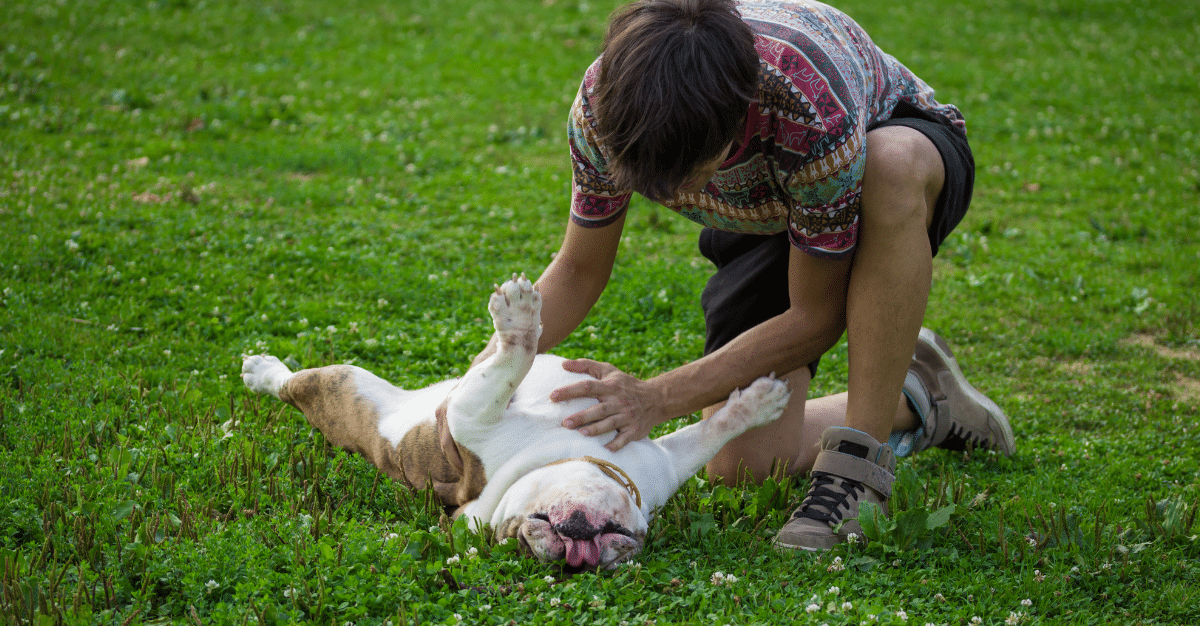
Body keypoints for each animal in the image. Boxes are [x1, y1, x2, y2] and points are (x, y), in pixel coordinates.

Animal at [241, 271, 787, 566]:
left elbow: (710, 431)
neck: (565, 455)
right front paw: (521, 319)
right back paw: (263, 371)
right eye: (520, 537)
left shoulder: (666, 465)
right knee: (293, 384)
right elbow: (511, 363)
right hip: (351, 387)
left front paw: (757, 402)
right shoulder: (472, 414)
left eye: (621, 543)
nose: (578, 554)